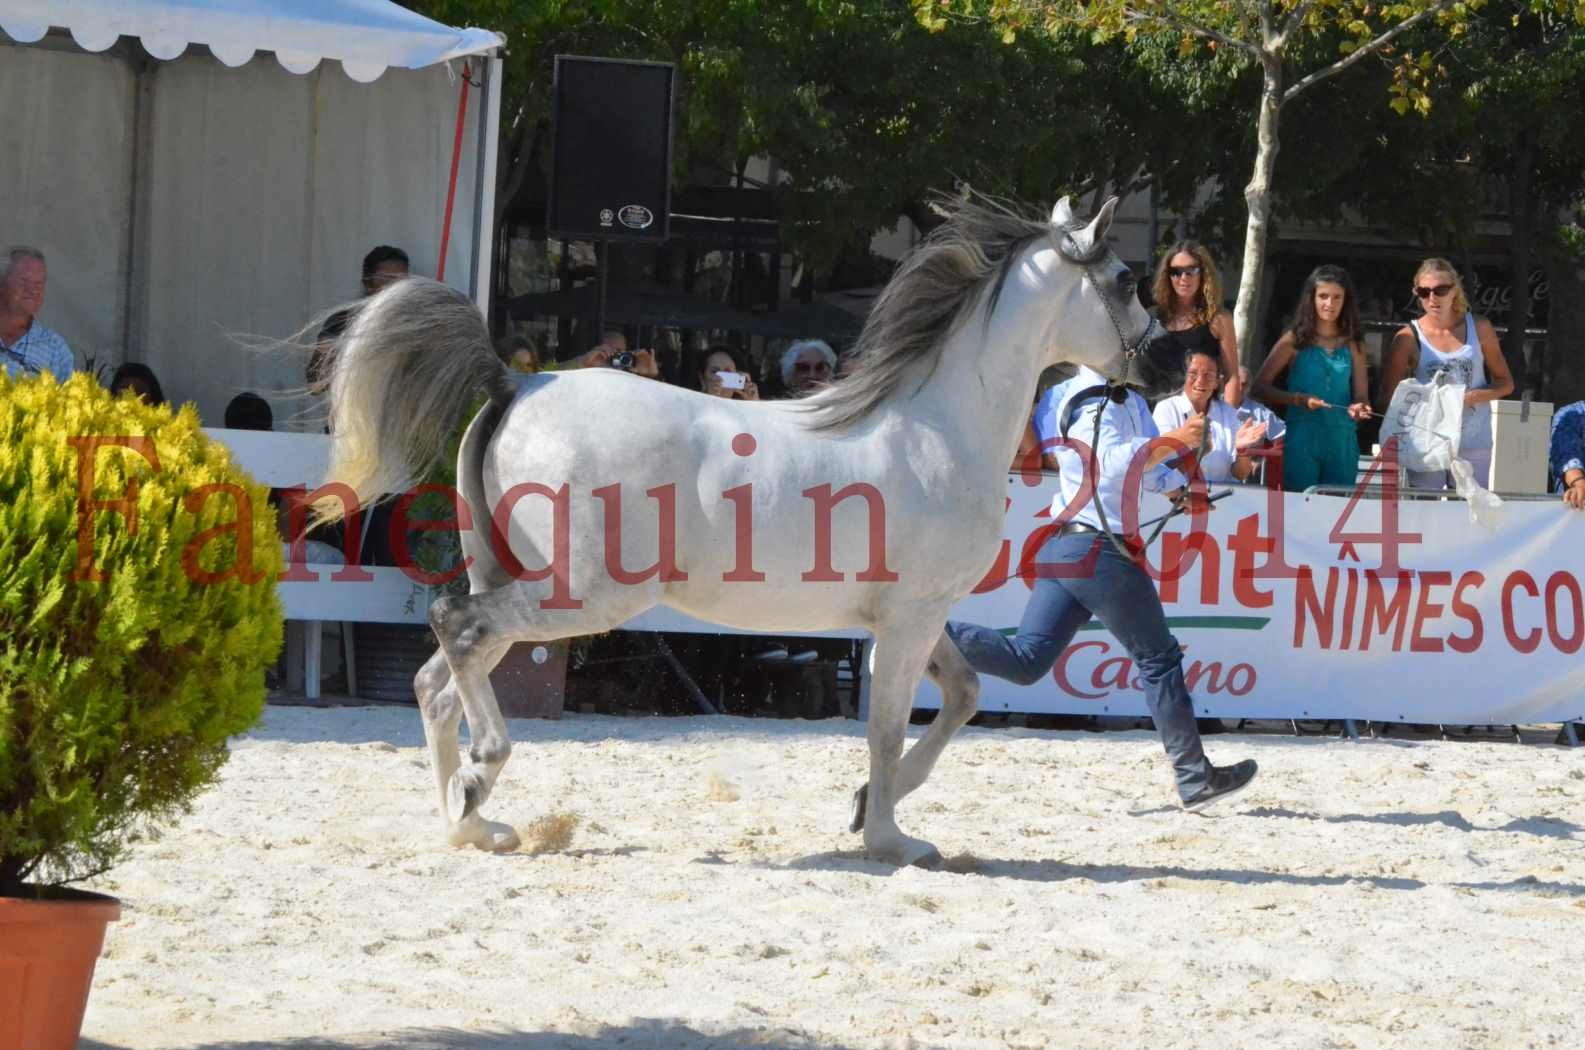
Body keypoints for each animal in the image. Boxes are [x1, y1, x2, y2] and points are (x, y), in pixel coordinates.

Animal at [315, 193, 1172, 869]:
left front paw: (867, 809)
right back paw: (479, 777)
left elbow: (960, 697)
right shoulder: (910, 618)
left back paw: (471, 822)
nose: (1163, 365)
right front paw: (890, 840)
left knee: (436, 681)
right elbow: (889, 728)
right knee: (456, 629)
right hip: (582, 596)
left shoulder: (912, 619)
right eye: (1126, 281)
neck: (939, 425)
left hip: (519, 579)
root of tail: (517, 382)